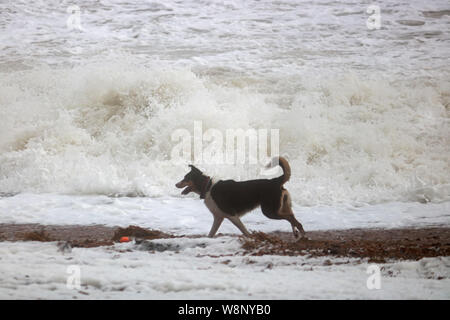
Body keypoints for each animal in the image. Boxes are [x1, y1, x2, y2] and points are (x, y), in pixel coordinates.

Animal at [175, 158, 306, 238]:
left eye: (185, 178)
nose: (176, 184)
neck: (207, 187)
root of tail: (275, 181)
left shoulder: (232, 215)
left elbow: (244, 230)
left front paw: (251, 238)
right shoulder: (218, 217)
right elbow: (211, 234)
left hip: (269, 211)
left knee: (292, 219)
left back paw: (302, 235)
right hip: (280, 207)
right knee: (292, 217)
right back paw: (296, 233)